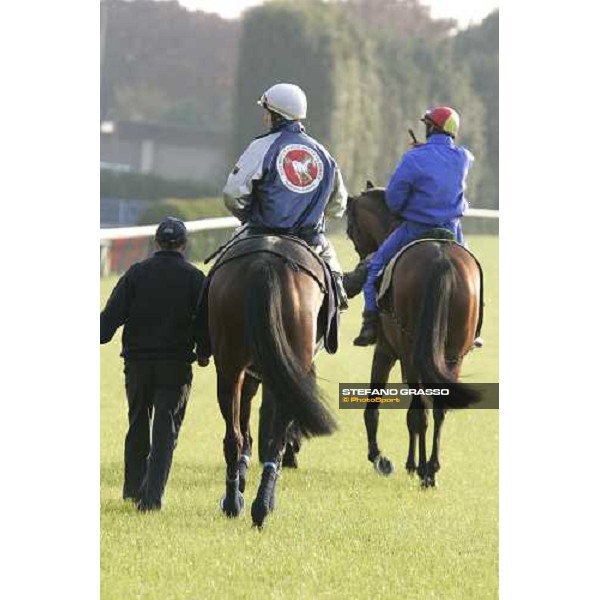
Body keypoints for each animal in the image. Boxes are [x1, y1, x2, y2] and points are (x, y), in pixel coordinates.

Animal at [207, 234, 338, 524]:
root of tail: (263, 264)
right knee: (273, 438)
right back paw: (257, 504)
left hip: (230, 365)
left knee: (234, 438)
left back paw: (239, 503)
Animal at [346, 183, 482, 488]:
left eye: (350, 228)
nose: (364, 262)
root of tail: (442, 262)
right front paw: (417, 463)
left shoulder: (385, 351)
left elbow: (375, 408)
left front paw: (383, 458)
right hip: (453, 355)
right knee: (439, 406)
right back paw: (431, 469)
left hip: (410, 353)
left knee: (420, 411)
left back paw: (424, 471)